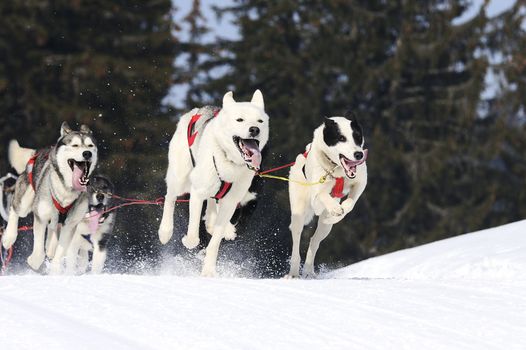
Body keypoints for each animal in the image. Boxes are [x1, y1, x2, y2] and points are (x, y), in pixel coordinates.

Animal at [1, 123, 98, 270]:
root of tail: (38, 152)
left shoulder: (70, 225)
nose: (87, 153)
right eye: (75, 145)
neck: (66, 191)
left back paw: (50, 246)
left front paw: (55, 268)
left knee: (52, 231)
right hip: (25, 202)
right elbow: (38, 251)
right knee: (15, 208)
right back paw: (9, 237)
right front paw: (34, 262)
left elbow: (60, 251)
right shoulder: (40, 216)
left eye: (90, 145)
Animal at [159, 89, 270, 276]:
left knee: (212, 209)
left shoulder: (231, 203)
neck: (228, 161)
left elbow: (215, 242)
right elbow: (193, 234)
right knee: (170, 197)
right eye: (239, 119)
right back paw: (165, 231)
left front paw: (209, 270)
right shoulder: (197, 193)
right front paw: (188, 241)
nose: (255, 129)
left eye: (260, 121)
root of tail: (197, 110)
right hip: (180, 177)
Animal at [286, 113, 370, 278]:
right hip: (298, 212)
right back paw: (293, 273)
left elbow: (350, 203)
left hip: (325, 229)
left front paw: (337, 213)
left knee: (314, 241)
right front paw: (335, 208)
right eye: (341, 138)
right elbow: (323, 194)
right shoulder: (317, 196)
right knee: (296, 242)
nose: (358, 154)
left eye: (357, 137)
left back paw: (308, 271)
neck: (337, 170)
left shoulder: (360, 183)